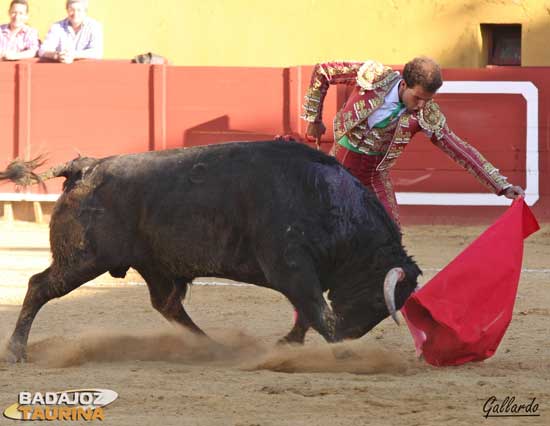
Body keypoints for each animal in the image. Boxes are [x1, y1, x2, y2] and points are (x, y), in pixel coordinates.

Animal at [1, 141, 422, 362]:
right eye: (377, 300)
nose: (352, 337)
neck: (322, 198)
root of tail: (85, 167)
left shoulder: (300, 274)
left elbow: (309, 311)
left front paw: (289, 344)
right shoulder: (291, 267)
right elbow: (318, 311)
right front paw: (343, 354)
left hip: (153, 264)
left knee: (167, 304)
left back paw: (212, 346)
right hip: (84, 259)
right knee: (39, 286)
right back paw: (17, 351)